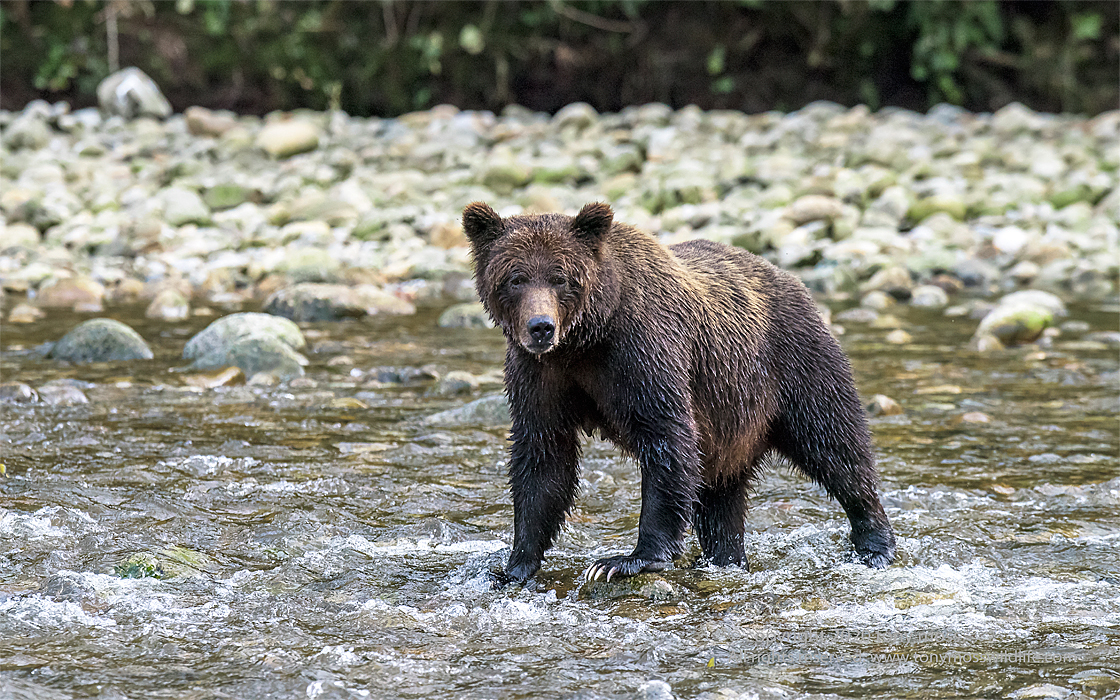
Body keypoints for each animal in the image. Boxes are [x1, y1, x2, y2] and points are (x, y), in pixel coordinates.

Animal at [459, 199, 896, 582]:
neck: (585, 341)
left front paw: (627, 560)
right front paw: (513, 566)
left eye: (561, 278)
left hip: (793, 364)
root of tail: (793, 282)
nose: (541, 326)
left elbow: (666, 437)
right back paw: (724, 558)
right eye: (516, 278)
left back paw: (875, 543)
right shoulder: (540, 375)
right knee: (721, 496)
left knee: (834, 444)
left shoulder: (642, 352)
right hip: (730, 420)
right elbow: (544, 457)